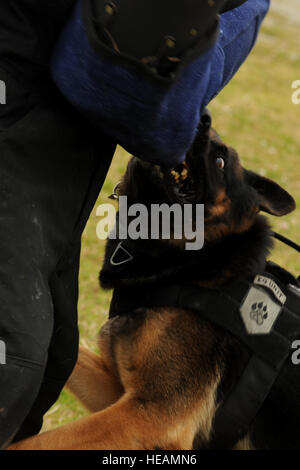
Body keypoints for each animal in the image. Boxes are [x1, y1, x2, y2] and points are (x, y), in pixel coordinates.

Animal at [8, 112, 298, 450]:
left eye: (220, 161)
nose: (201, 116)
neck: (195, 263)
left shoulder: (152, 416)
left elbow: (39, 442)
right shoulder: (120, 396)